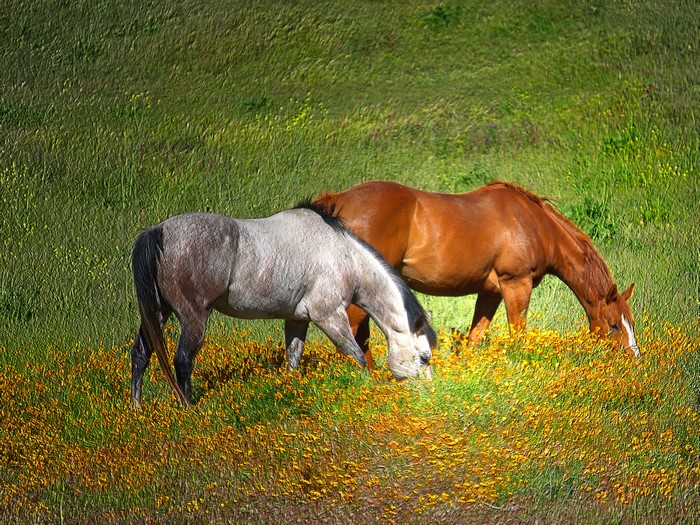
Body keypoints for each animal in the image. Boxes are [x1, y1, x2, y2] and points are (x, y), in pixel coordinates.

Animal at [130, 202, 436, 407]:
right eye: (424, 357)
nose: (429, 396)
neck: (345, 256)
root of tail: (158, 231)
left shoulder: (297, 319)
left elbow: (293, 359)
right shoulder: (329, 316)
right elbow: (357, 355)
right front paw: (366, 388)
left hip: (158, 313)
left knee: (141, 354)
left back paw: (137, 407)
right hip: (193, 318)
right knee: (182, 360)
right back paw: (188, 407)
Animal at [313, 180, 639, 365]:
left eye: (631, 323)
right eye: (613, 325)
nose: (633, 359)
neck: (535, 226)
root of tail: (340, 201)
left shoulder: (490, 292)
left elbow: (475, 337)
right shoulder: (516, 285)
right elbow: (518, 334)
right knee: (355, 327)